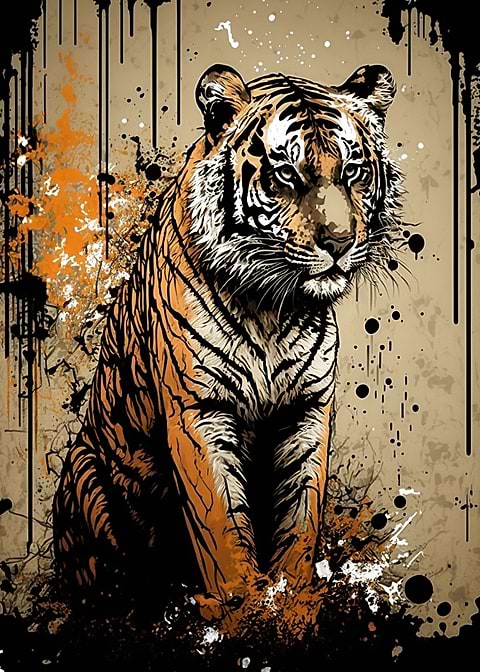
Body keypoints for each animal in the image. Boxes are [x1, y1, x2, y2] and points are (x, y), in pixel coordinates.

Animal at [53, 63, 403, 636]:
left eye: (352, 170)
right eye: (286, 175)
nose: (339, 243)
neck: (272, 308)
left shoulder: (306, 411)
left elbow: (299, 520)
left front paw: (291, 609)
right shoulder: (199, 413)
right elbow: (221, 530)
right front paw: (243, 618)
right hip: (86, 475)